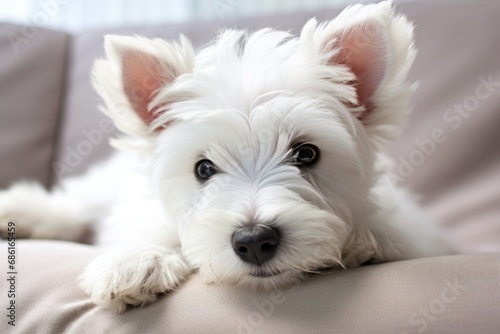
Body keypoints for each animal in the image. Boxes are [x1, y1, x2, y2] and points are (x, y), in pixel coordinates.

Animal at [0, 0, 450, 314]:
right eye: (203, 169)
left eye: (306, 154)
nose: (254, 241)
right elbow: (147, 229)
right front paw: (134, 262)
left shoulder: (416, 230)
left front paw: (361, 243)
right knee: (75, 206)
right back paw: (20, 211)